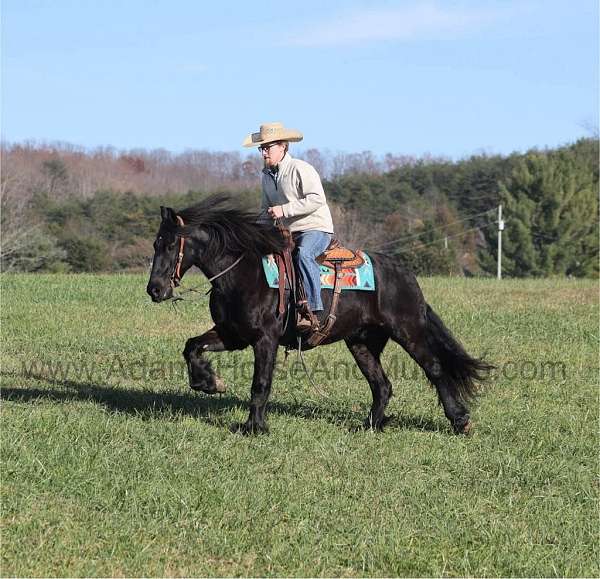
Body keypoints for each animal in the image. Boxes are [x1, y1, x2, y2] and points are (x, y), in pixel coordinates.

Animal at [146, 194, 492, 436]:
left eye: (171, 244)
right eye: (155, 243)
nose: (155, 289)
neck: (243, 273)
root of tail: (404, 272)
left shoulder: (265, 339)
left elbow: (260, 383)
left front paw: (254, 427)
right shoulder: (233, 334)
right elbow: (192, 346)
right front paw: (208, 382)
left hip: (409, 332)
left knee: (435, 369)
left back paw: (460, 421)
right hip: (362, 342)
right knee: (382, 385)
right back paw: (369, 426)